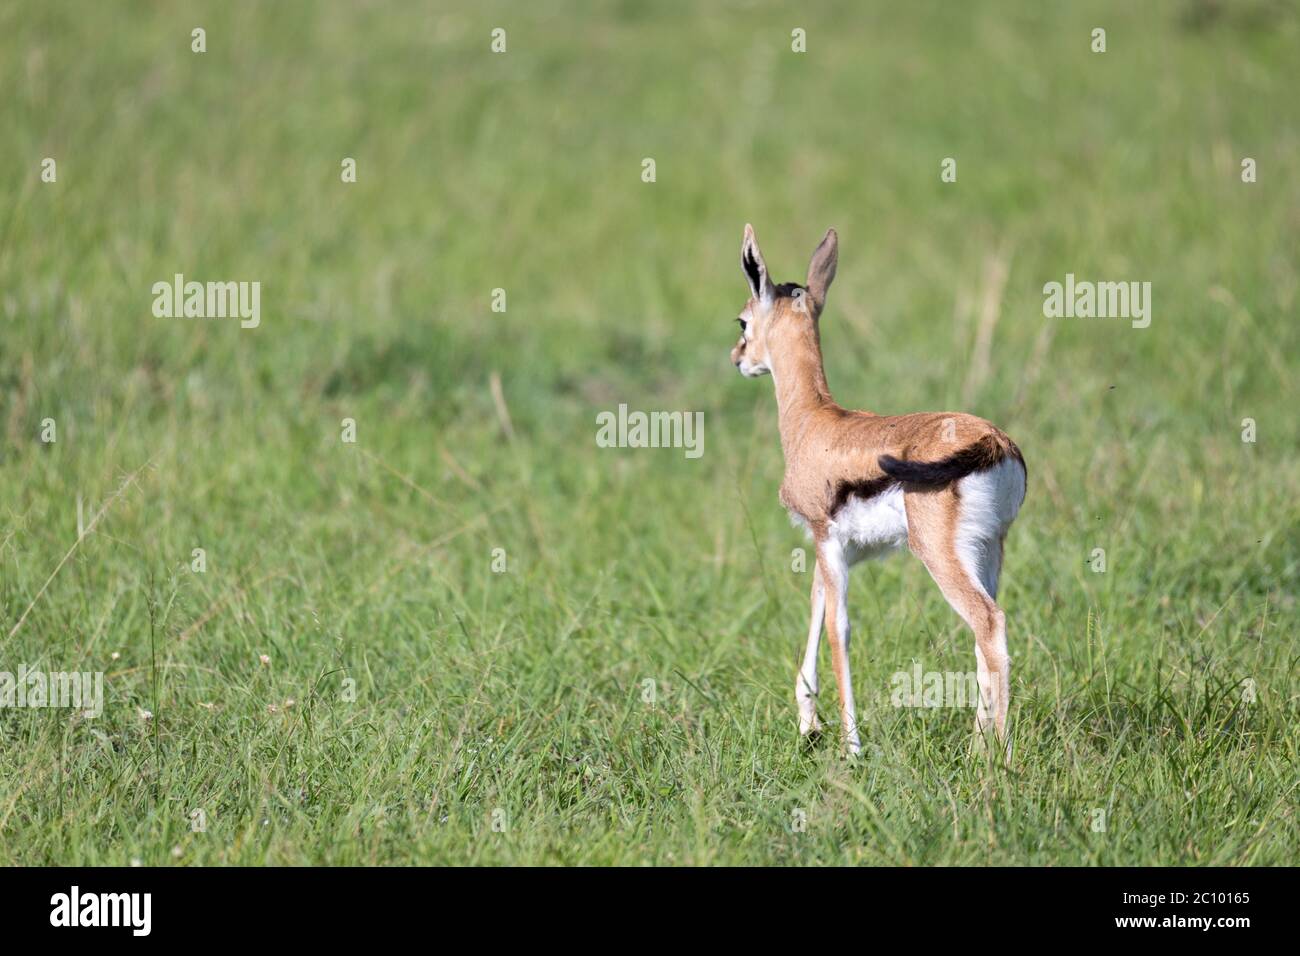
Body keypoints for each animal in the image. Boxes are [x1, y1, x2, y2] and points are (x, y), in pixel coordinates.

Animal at [730, 224, 1026, 757]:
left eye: (742, 320)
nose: (738, 358)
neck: (815, 421)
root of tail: (994, 441)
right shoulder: (833, 548)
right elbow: (817, 608)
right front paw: (809, 725)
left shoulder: (826, 538)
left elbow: (838, 628)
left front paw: (851, 745)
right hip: (988, 550)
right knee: (984, 633)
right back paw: (977, 746)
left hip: (940, 555)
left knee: (989, 625)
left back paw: (996, 754)